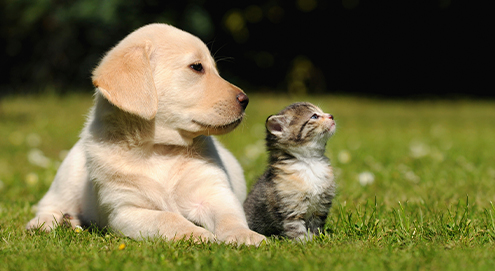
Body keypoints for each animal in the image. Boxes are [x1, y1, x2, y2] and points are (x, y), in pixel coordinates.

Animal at [26, 23, 268, 246]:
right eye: (197, 67)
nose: (245, 100)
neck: (159, 149)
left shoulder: (215, 193)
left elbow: (229, 216)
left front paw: (244, 235)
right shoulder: (126, 210)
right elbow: (167, 218)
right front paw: (196, 234)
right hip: (68, 176)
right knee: (49, 204)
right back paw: (47, 223)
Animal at [244, 102, 338, 242]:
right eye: (314, 116)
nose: (331, 115)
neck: (310, 163)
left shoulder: (320, 208)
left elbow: (315, 226)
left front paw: (316, 239)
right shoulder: (290, 209)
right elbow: (296, 229)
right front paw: (304, 242)